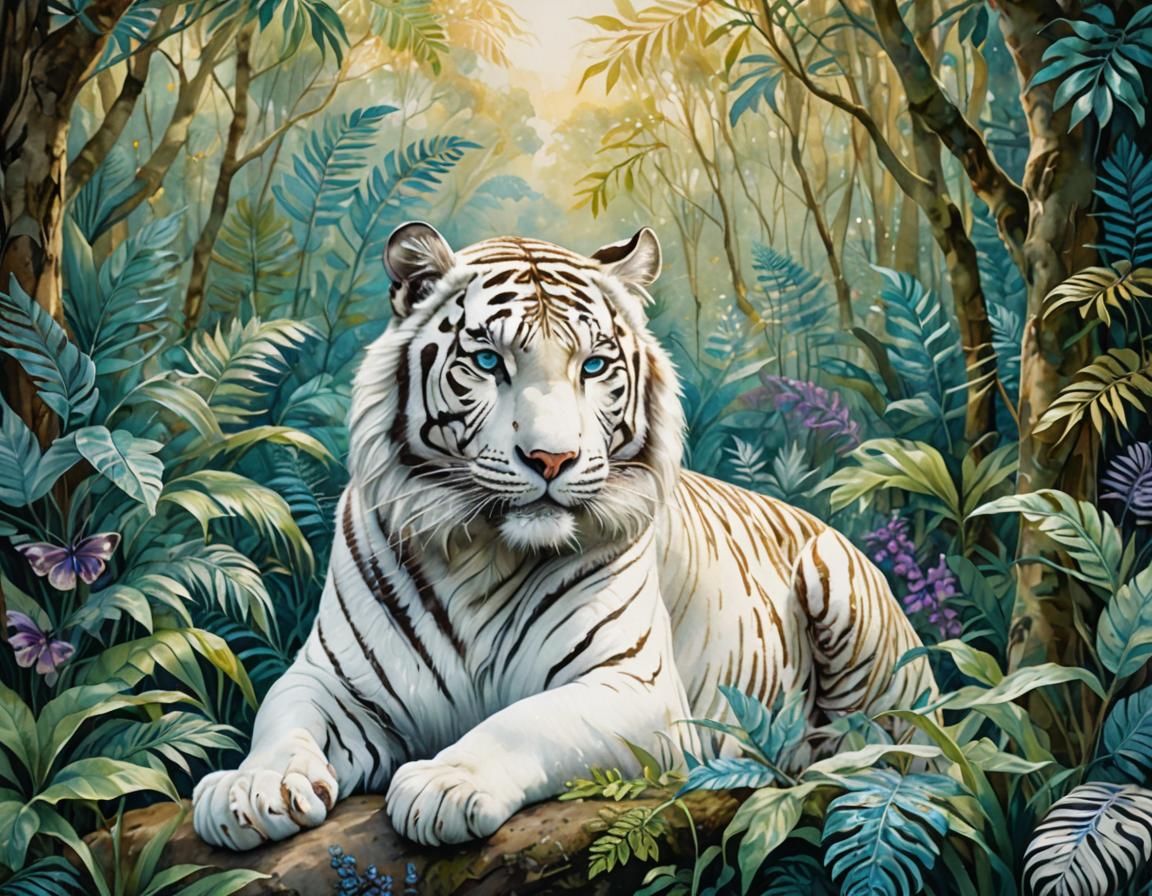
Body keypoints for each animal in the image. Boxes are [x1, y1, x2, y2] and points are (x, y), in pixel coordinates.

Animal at [191, 222, 936, 850]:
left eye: (594, 367)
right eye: (487, 361)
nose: (552, 459)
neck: (481, 550)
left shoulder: (632, 686)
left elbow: (523, 721)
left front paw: (445, 783)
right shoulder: (331, 678)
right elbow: (282, 717)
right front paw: (250, 789)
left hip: (842, 589)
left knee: (890, 746)